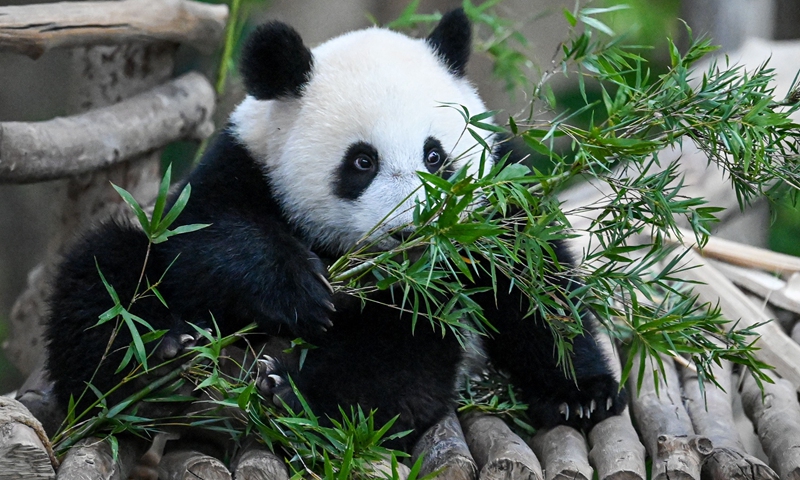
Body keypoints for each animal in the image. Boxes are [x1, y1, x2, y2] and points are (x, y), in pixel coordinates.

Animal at [45, 8, 624, 450]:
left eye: (435, 156)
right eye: (362, 162)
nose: (414, 232)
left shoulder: (497, 198)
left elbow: (532, 286)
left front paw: (580, 394)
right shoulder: (242, 166)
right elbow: (203, 234)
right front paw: (298, 290)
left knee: (399, 360)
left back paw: (291, 395)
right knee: (105, 277)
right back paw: (154, 364)